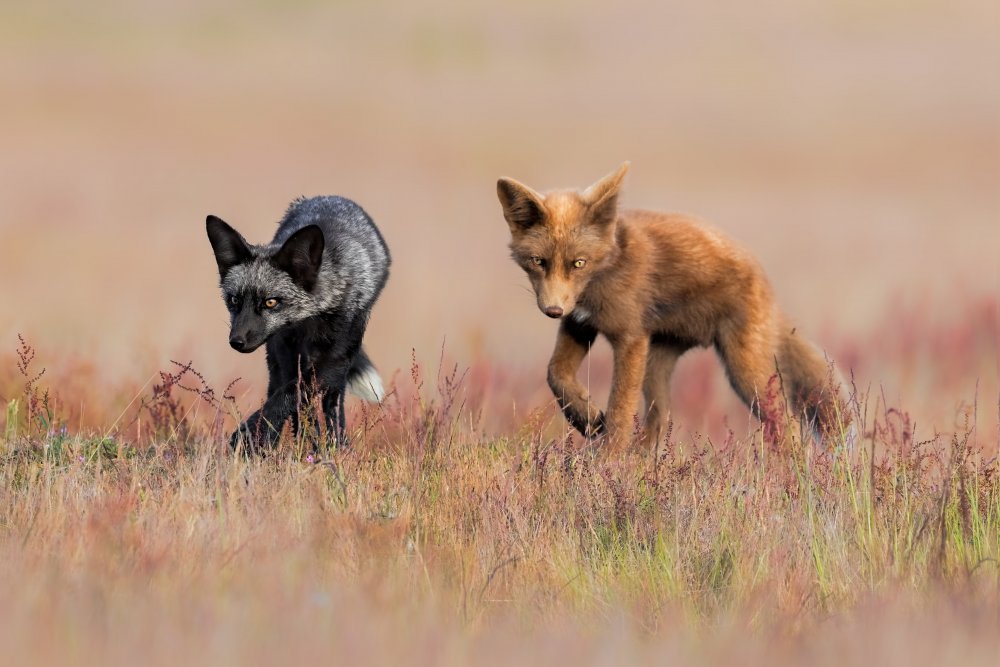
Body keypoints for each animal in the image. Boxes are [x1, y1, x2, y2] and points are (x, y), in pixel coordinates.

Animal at [206, 195, 390, 452]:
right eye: (234, 300)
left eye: (271, 302)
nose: (236, 342)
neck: (309, 323)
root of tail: (329, 196)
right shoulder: (289, 356)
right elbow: (293, 402)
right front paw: (272, 442)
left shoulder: (335, 359)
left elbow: (294, 396)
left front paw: (249, 435)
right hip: (275, 360)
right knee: (282, 392)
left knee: (333, 405)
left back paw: (337, 445)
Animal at [497, 163, 845, 454]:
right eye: (538, 261)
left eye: (578, 263)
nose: (553, 309)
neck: (603, 275)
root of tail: (764, 279)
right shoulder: (581, 324)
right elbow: (556, 374)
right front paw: (587, 420)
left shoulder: (630, 338)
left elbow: (621, 411)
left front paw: (606, 462)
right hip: (657, 365)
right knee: (658, 422)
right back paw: (640, 464)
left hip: (744, 372)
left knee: (788, 423)